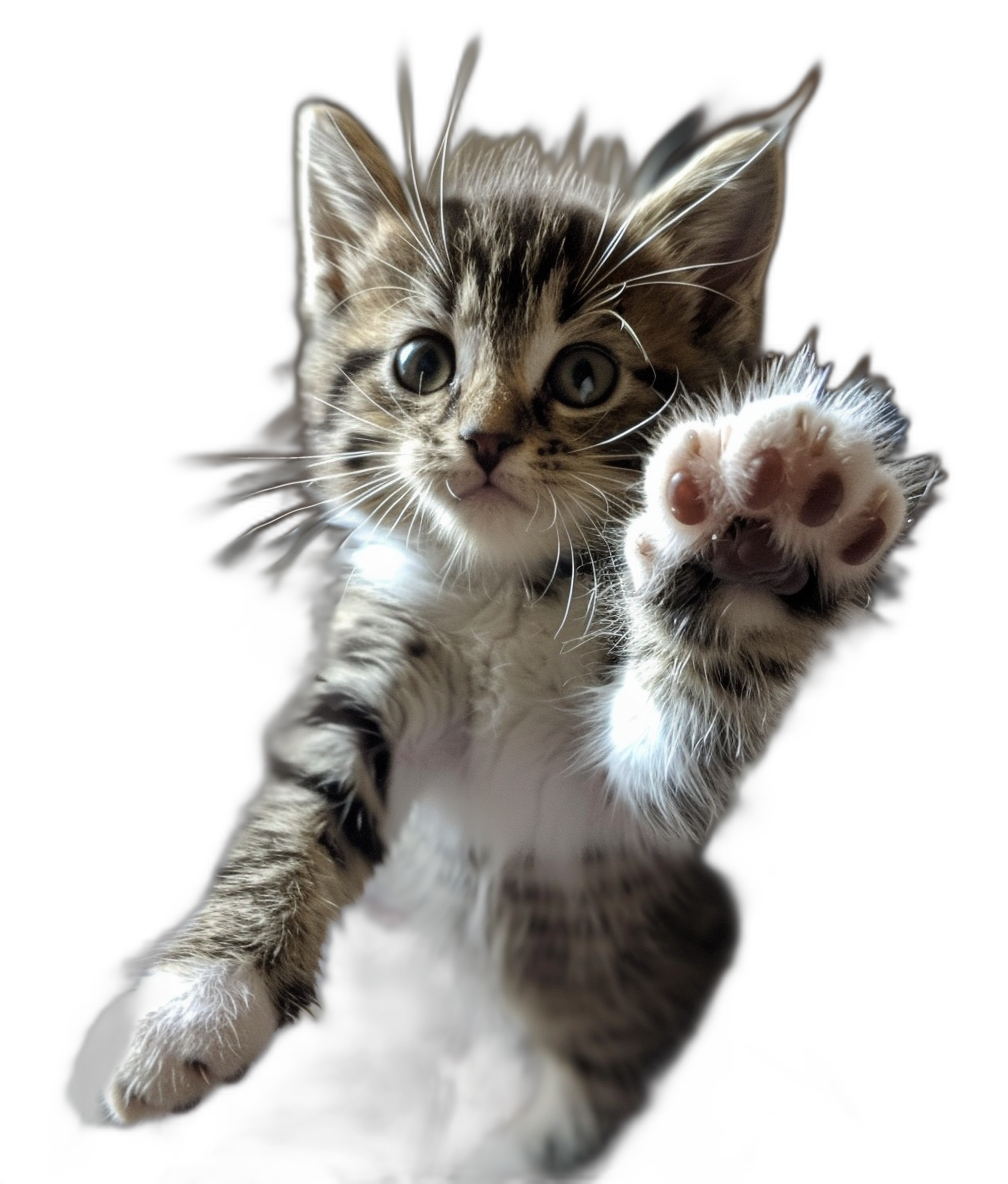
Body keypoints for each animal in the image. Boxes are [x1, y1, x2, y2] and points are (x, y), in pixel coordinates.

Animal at [71, 57, 938, 1184]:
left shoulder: (619, 820)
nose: (483, 439)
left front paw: (758, 534)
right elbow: (312, 785)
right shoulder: (385, 636)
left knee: (608, 1072)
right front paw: (192, 1004)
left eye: (584, 375)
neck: (504, 591)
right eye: (422, 364)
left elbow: (670, 753)